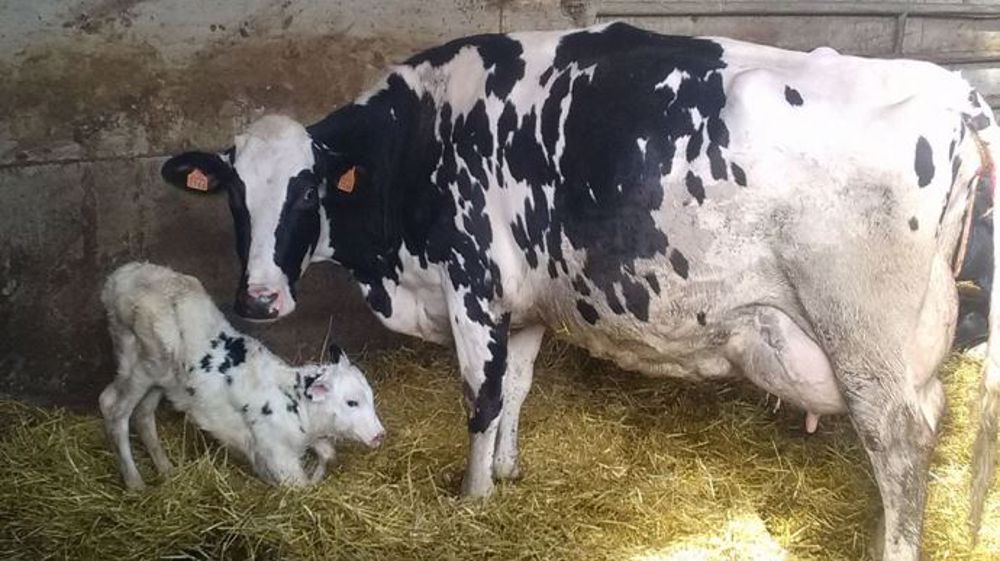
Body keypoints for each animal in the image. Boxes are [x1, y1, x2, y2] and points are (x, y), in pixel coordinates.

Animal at [100, 262, 385, 489]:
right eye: (351, 402)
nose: (379, 435)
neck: (293, 402)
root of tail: (121, 277)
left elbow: (327, 453)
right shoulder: (279, 457)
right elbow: (301, 486)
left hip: (159, 377)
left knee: (142, 414)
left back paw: (166, 469)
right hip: (145, 365)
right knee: (113, 407)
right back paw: (134, 481)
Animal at [161, 23, 1000, 559]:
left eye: (307, 193)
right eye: (235, 198)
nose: (259, 300)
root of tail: (953, 89)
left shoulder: (471, 284)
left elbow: (480, 396)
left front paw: (472, 496)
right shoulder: (525, 298)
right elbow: (518, 385)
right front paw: (506, 471)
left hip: (865, 342)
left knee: (900, 445)